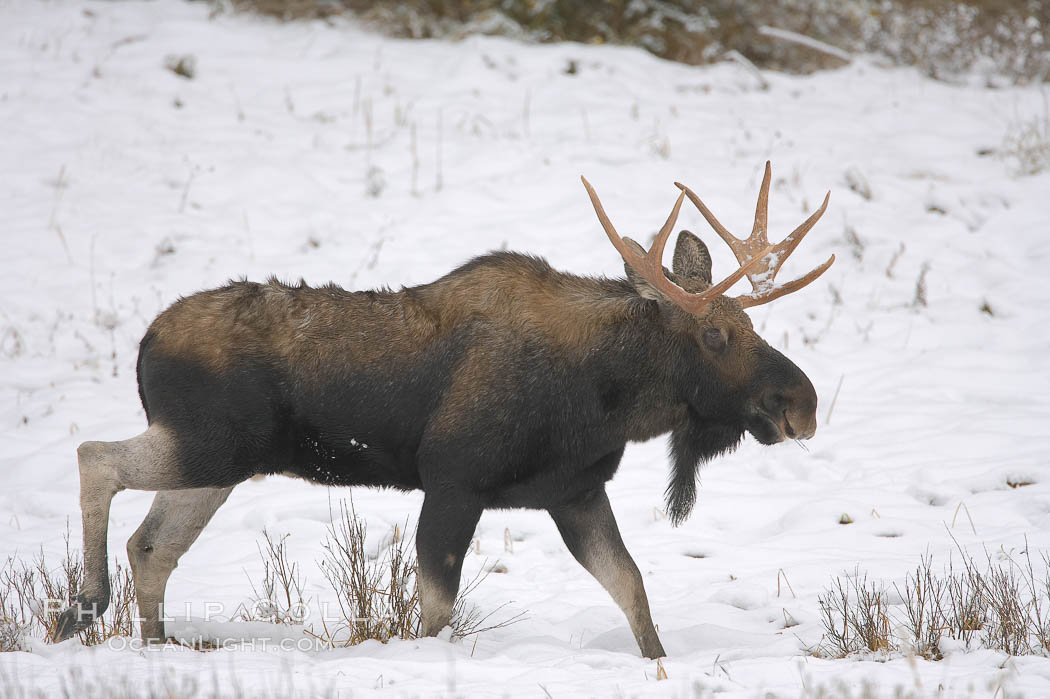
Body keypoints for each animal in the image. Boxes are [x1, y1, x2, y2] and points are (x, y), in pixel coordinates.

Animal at [55, 163, 827, 659]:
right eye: (716, 334)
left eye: (750, 325)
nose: (803, 403)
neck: (603, 396)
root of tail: (145, 343)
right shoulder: (454, 481)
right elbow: (435, 609)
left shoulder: (574, 491)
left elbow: (632, 589)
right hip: (209, 444)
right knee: (95, 458)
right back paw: (80, 607)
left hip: (217, 465)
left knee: (151, 545)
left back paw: (155, 646)